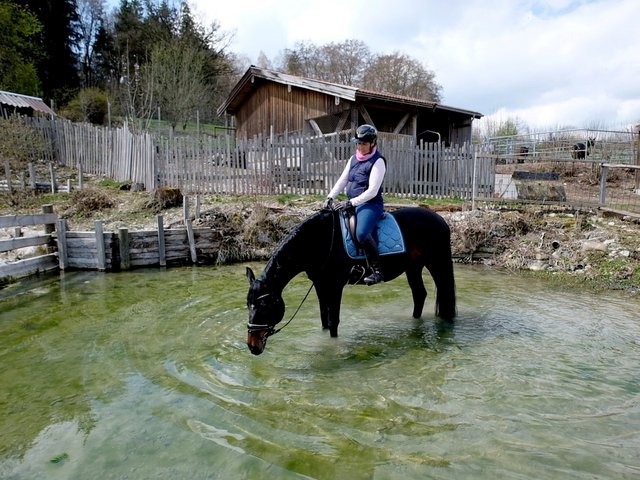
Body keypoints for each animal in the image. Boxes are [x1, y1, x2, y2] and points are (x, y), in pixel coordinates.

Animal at [244, 208, 456, 354]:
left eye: (264, 305)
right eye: (248, 305)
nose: (252, 346)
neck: (318, 241)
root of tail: (440, 219)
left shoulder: (335, 286)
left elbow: (333, 321)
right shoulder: (321, 285)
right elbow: (324, 318)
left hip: (437, 263)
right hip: (413, 267)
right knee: (419, 294)